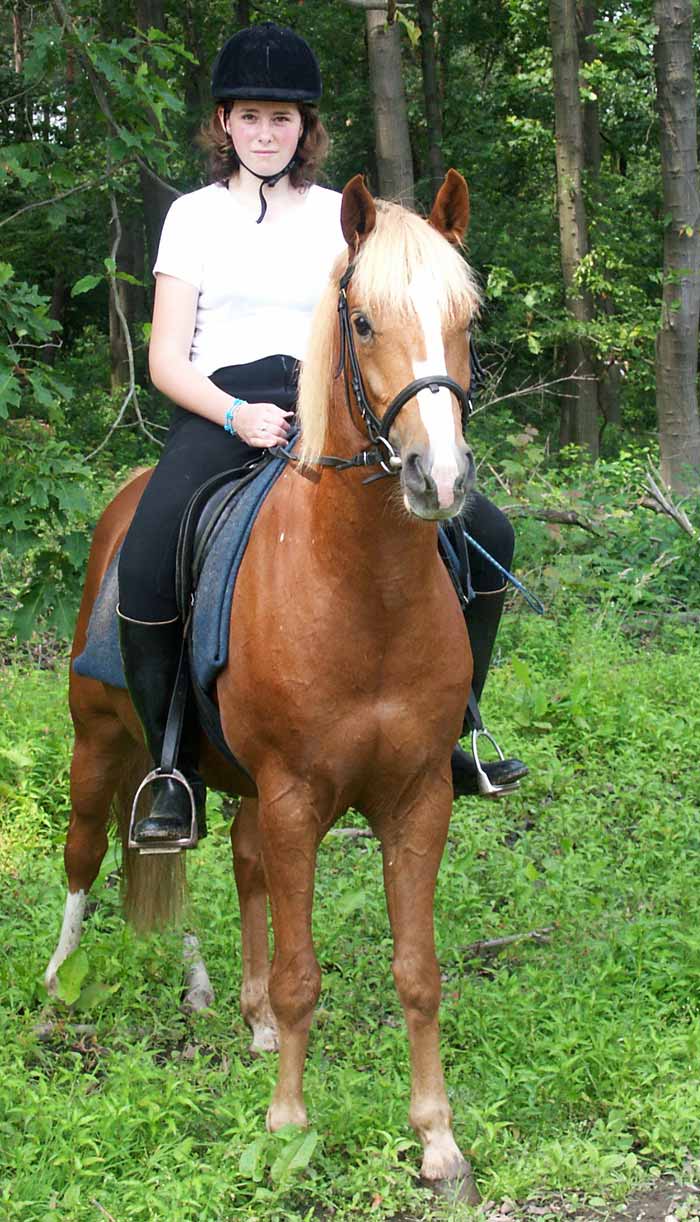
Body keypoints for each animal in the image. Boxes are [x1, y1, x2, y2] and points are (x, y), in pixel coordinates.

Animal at [45, 170, 482, 1201]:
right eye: (361, 320)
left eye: (468, 317)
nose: (438, 478)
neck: (362, 593)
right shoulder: (293, 795)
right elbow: (301, 972)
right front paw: (288, 1126)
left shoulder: (417, 797)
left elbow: (418, 971)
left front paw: (437, 1138)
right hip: (101, 743)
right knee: (91, 855)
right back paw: (53, 998)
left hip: (229, 778)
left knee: (226, 864)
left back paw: (231, 1006)